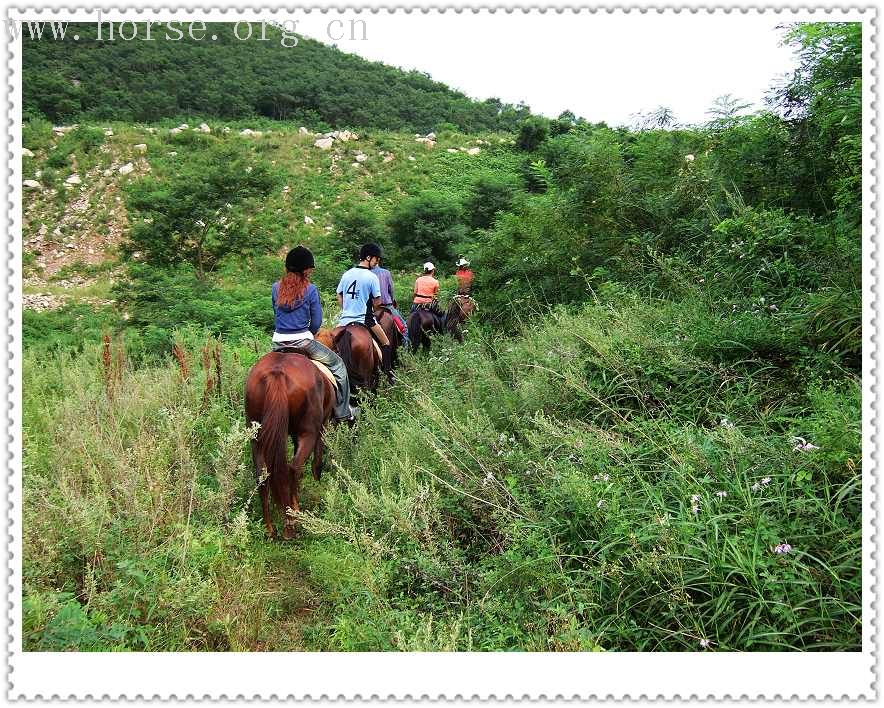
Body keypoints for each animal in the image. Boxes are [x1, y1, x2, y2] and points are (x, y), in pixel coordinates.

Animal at [245, 352, 334, 540]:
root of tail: (277, 373)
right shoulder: (322, 427)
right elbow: (317, 462)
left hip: (256, 435)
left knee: (262, 474)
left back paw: (270, 529)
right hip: (309, 433)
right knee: (293, 468)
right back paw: (292, 522)